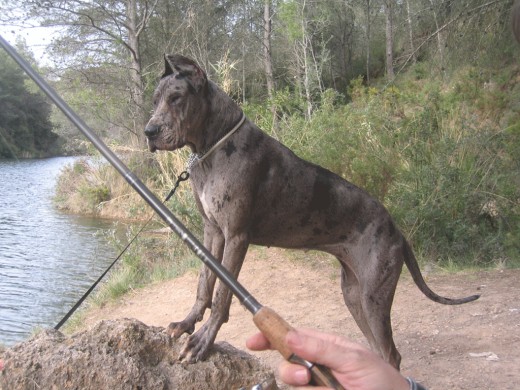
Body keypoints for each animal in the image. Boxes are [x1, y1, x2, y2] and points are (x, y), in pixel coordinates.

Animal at [143, 54, 480, 368]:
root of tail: (396, 230)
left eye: (176, 98)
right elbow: (204, 284)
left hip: (374, 296)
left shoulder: (236, 236)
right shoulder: (212, 231)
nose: (149, 131)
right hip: (354, 295)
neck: (211, 147)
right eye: (155, 100)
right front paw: (187, 323)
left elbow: (222, 295)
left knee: (391, 354)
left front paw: (203, 341)